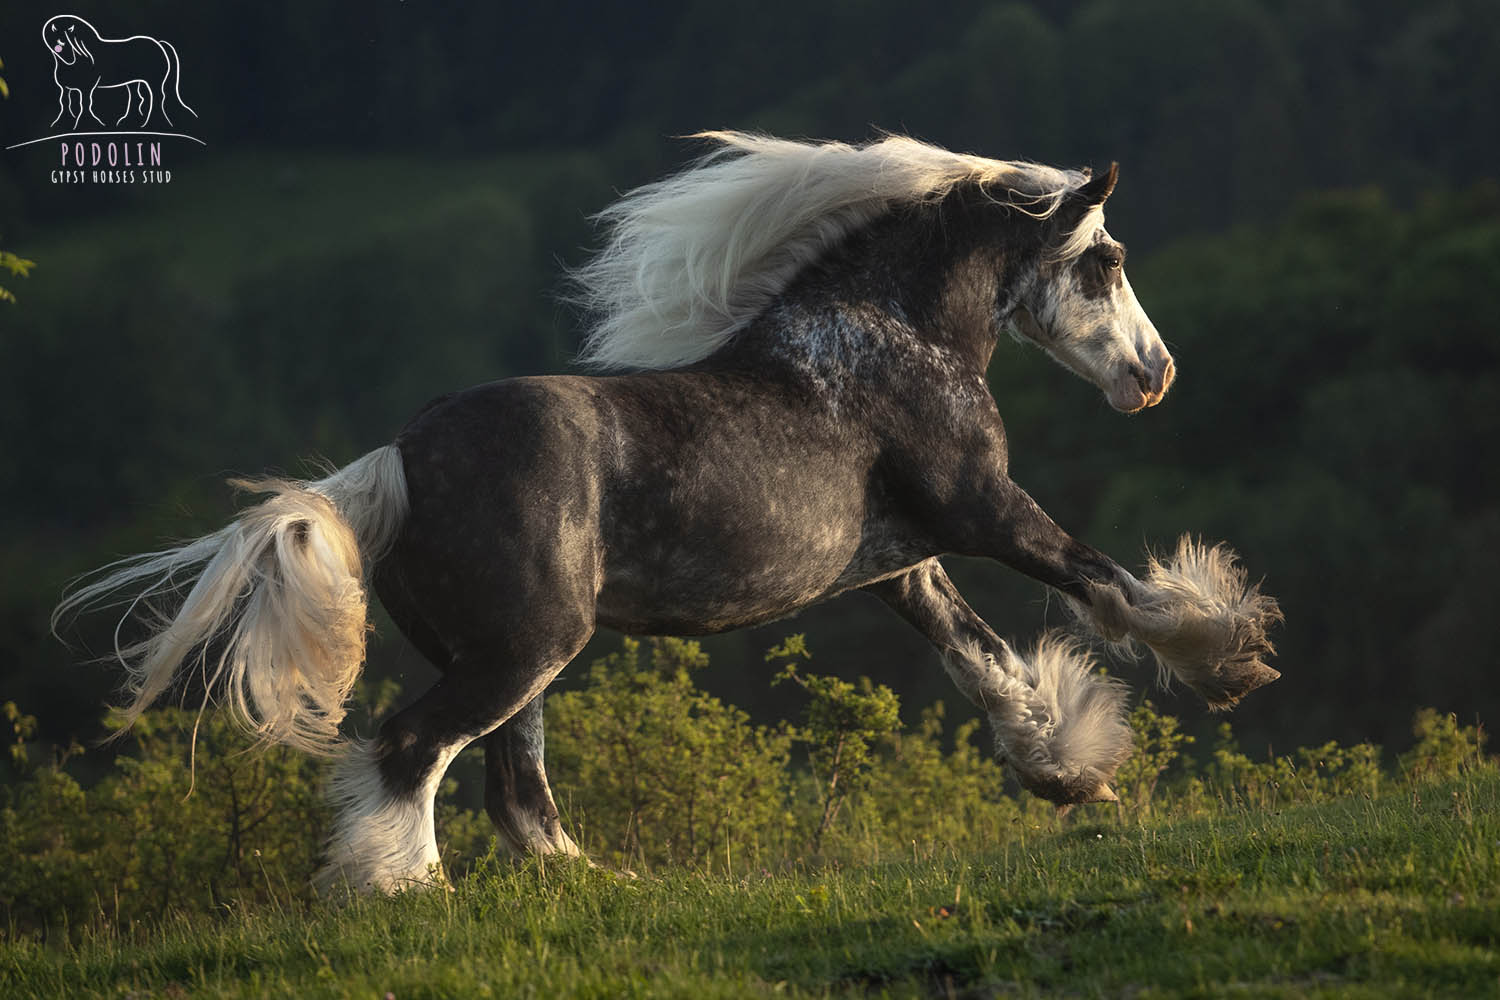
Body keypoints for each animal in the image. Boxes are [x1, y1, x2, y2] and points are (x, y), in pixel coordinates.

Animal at [41, 15, 196, 131]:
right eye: (54, 29)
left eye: (70, 29)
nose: (60, 42)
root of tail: (159, 44)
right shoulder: (64, 88)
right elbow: (64, 102)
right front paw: (62, 123)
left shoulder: (86, 88)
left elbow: (85, 103)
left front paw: (85, 124)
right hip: (133, 81)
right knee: (136, 98)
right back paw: (130, 122)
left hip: (154, 82)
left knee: (157, 97)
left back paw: (155, 123)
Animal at [52, 132, 1284, 893]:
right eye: (1104, 261)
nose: (1155, 375)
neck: (886, 336)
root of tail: (397, 457)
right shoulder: (983, 511)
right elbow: (1110, 587)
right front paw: (1229, 656)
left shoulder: (905, 565)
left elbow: (990, 667)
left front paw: (1069, 773)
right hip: (524, 648)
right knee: (415, 751)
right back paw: (410, 893)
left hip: (515, 660)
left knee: (516, 791)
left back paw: (597, 884)